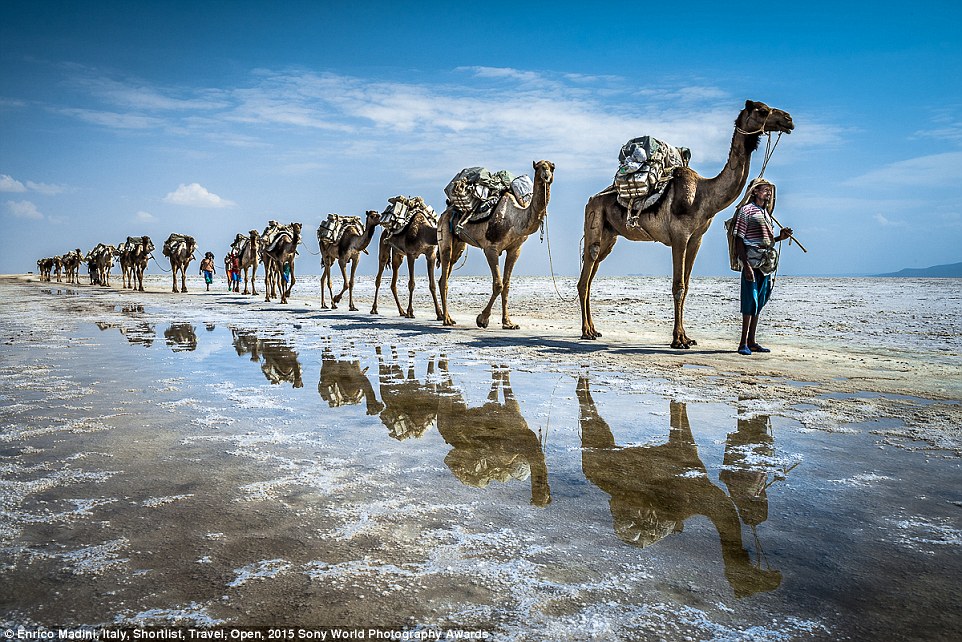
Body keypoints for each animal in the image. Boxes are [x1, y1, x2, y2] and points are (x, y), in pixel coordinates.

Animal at [436, 158, 556, 328]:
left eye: (552, 167)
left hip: (459, 245)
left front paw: (508, 323)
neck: (515, 219)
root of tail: (445, 212)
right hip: (444, 235)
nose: (547, 176)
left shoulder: (515, 249)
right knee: (444, 274)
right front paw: (482, 319)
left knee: (444, 275)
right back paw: (447, 319)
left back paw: (447, 317)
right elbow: (498, 284)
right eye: (538, 167)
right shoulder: (491, 249)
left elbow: (506, 285)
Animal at [572, 99, 792, 344]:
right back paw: (586, 331)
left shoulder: (696, 238)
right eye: (762, 110)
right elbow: (678, 286)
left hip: (610, 237)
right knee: (585, 276)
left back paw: (593, 329)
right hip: (594, 223)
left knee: (590, 275)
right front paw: (678, 339)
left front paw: (687, 336)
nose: (788, 119)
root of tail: (590, 200)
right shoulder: (679, 235)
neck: (704, 195)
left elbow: (686, 287)